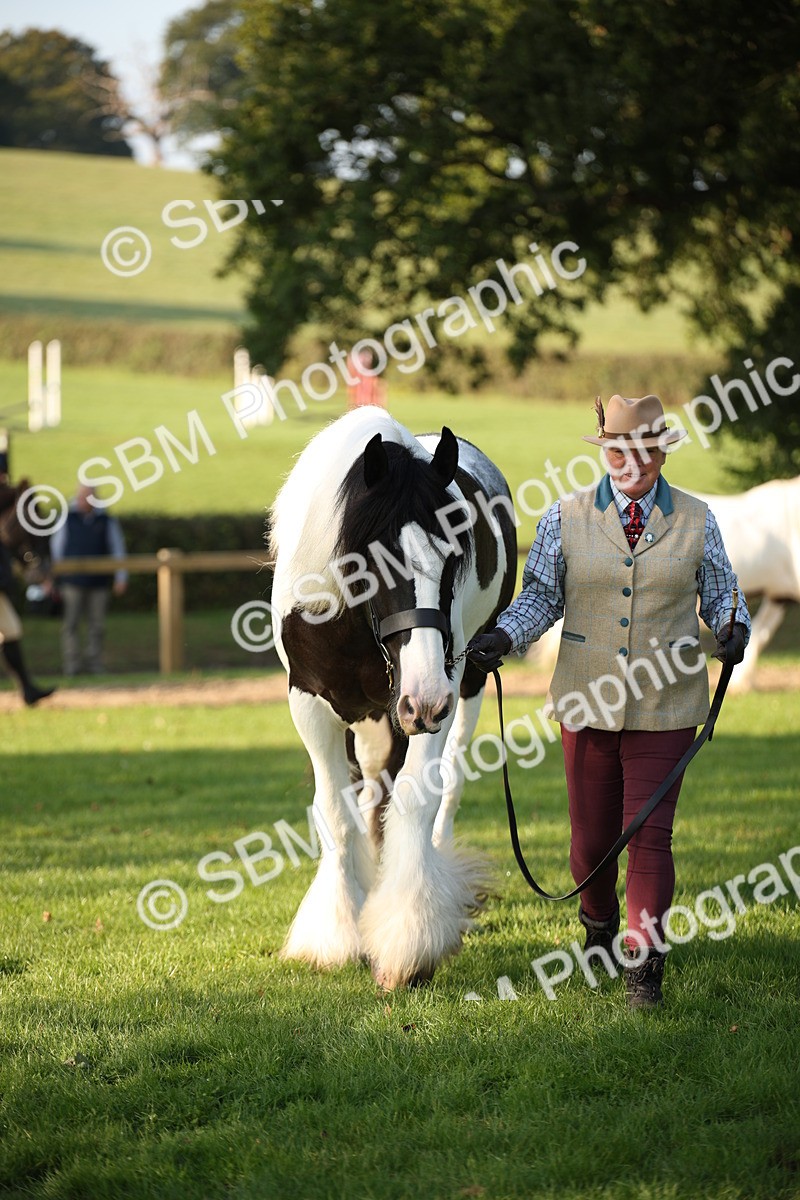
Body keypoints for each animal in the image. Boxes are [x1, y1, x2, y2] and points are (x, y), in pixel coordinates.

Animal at [270, 408, 517, 990]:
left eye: (455, 554)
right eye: (374, 562)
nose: (424, 699)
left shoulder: (441, 690)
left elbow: (415, 797)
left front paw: (409, 937)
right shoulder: (309, 702)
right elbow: (335, 811)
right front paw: (336, 935)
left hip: (466, 686)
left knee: (447, 782)